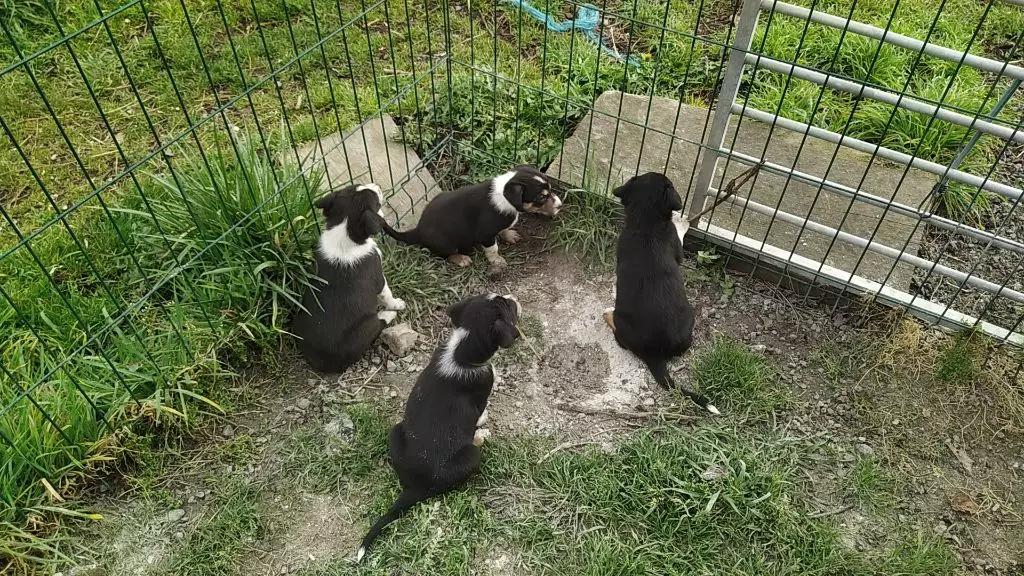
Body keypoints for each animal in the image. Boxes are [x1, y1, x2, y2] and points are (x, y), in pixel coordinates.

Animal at [290, 182, 405, 373]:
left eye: (356, 185)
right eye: (376, 200)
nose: (377, 185)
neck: (344, 234)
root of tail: (321, 361)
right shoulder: (379, 278)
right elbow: (387, 294)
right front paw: (397, 304)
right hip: (366, 327)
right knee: (378, 324)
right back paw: (388, 314)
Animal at [358, 289, 520, 557]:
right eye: (507, 307)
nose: (512, 296)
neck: (462, 352)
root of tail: (418, 486)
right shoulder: (482, 393)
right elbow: (479, 414)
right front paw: (483, 425)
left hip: (395, 432)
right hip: (472, 457)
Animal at [380, 163, 565, 270]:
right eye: (541, 197)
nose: (560, 205)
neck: (505, 196)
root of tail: (417, 230)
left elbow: (503, 230)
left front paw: (510, 235)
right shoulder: (486, 233)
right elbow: (492, 248)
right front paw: (497, 261)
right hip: (444, 243)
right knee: (443, 254)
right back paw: (461, 258)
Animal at [598, 170, 720, 412]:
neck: (646, 221)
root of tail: (653, 353)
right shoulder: (676, 247)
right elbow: (679, 234)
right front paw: (681, 220)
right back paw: (608, 314)